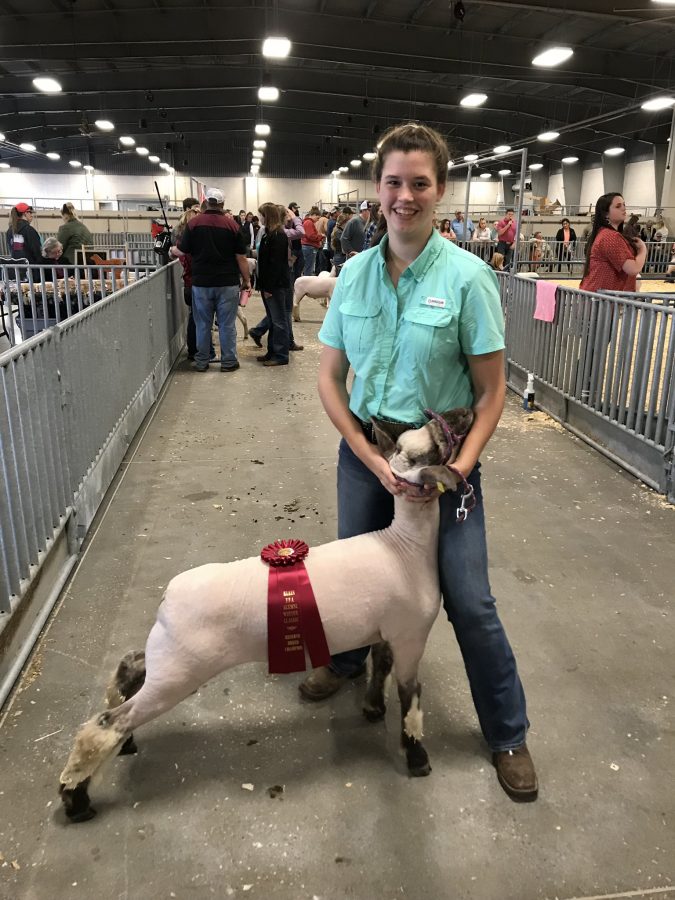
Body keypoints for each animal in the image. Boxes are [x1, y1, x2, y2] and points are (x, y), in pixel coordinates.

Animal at [59, 408, 476, 824]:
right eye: (436, 442)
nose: (465, 412)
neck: (404, 547)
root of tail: (168, 597)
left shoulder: (385, 630)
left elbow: (380, 666)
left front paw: (374, 709)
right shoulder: (411, 635)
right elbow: (412, 696)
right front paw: (418, 758)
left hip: (167, 656)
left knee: (128, 667)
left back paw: (123, 745)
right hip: (178, 674)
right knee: (104, 725)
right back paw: (76, 801)